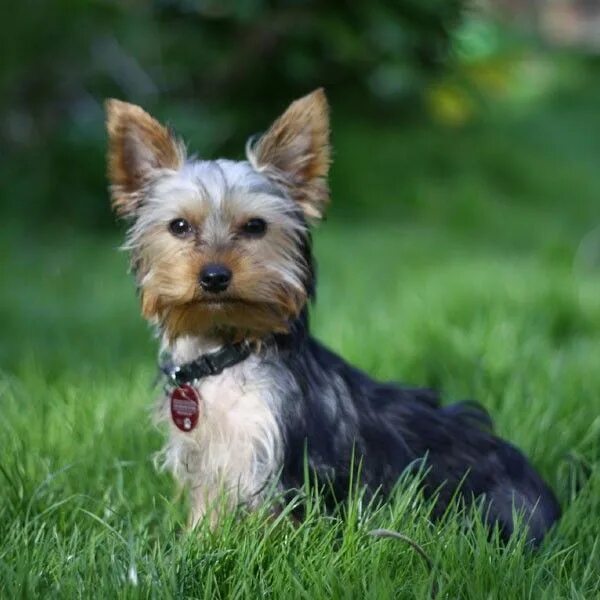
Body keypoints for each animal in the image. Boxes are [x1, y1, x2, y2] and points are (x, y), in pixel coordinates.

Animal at [105, 89, 560, 544]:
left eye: (255, 227)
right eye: (179, 226)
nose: (214, 276)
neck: (226, 349)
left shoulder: (276, 462)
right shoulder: (208, 456)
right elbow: (207, 511)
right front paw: (196, 544)